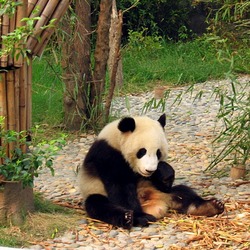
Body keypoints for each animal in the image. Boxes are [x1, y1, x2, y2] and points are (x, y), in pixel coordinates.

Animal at [77, 114, 224, 229]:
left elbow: (165, 181)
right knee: (98, 204)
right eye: (142, 151)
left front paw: (164, 172)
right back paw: (128, 217)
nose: (149, 170)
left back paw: (210, 206)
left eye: (158, 153)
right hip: (95, 190)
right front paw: (141, 217)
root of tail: (155, 205)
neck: (116, 139)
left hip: (162, 192)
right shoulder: (107, 155)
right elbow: (120, 188)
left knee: (182, 192)